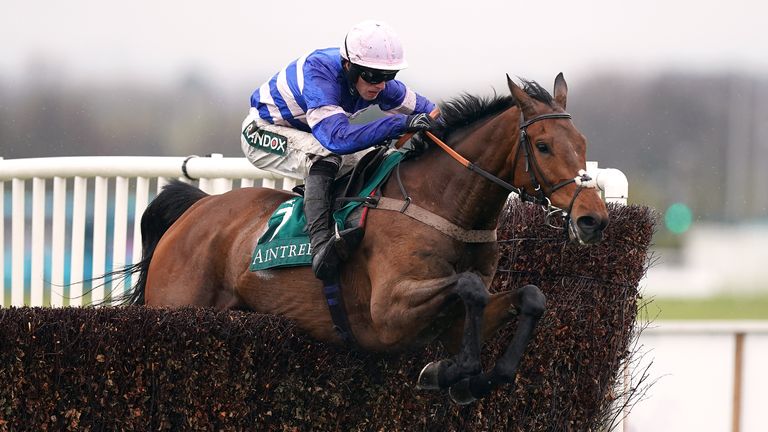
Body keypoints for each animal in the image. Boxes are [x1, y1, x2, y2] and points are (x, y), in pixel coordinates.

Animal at [123, 75, 608, 404]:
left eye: (583, 142)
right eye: (543, 146)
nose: (593, 219)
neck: (442, 204)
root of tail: (196, 209)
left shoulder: (457, 320)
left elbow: (530, 297)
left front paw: (477, 378)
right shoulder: (388, 313)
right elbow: (469, 287)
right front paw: (445, 372)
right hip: (177, 307)